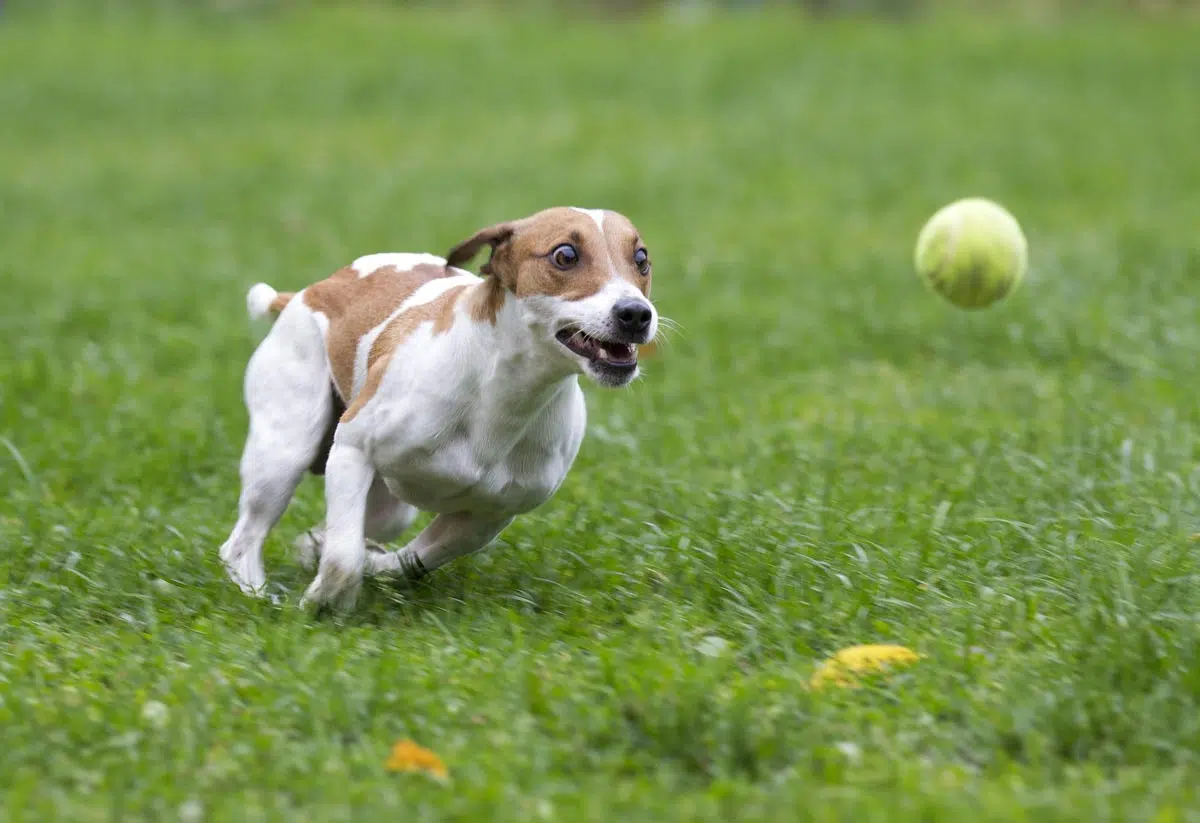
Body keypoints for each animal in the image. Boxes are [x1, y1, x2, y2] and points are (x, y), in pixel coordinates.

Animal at [220, 206, 662, 609]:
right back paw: (257, 593)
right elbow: (344, 560)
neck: (503, 393)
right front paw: (321, 603)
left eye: (641, 258)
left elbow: (405, 559)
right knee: (242, 540)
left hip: (389, 506)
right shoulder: (352, 450)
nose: (636, 313)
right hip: (284, 452)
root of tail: (308, 292)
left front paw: (361, 565)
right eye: (565, 255)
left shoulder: (488, 517)